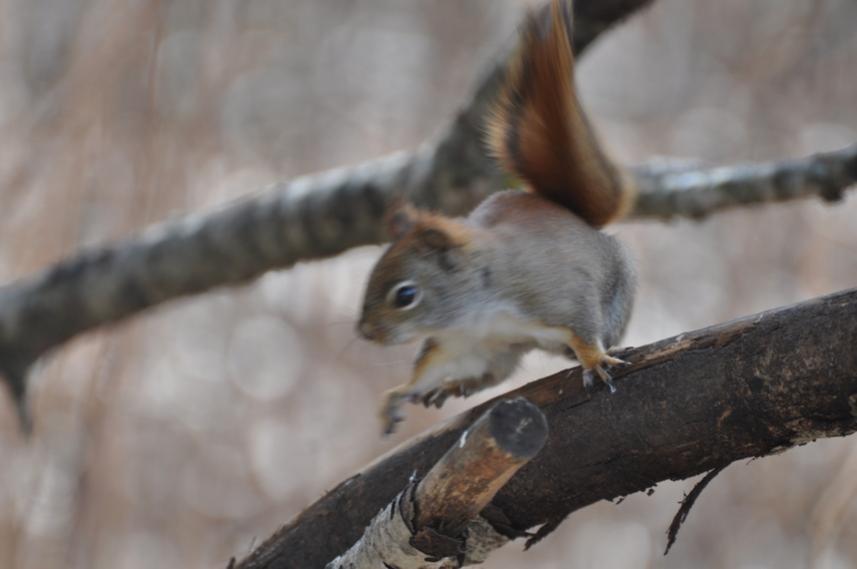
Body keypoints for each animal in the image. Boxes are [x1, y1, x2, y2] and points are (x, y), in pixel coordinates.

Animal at [356, 0, 636, 432]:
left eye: (405, 295)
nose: (366, 333)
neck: (476, 308)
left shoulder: (555, 295)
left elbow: (582, 326)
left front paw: (595, 360)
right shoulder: (460, 340)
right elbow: (430, 366)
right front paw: (399, 394)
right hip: (497, 349)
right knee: (493, 373)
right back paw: (457, 385)